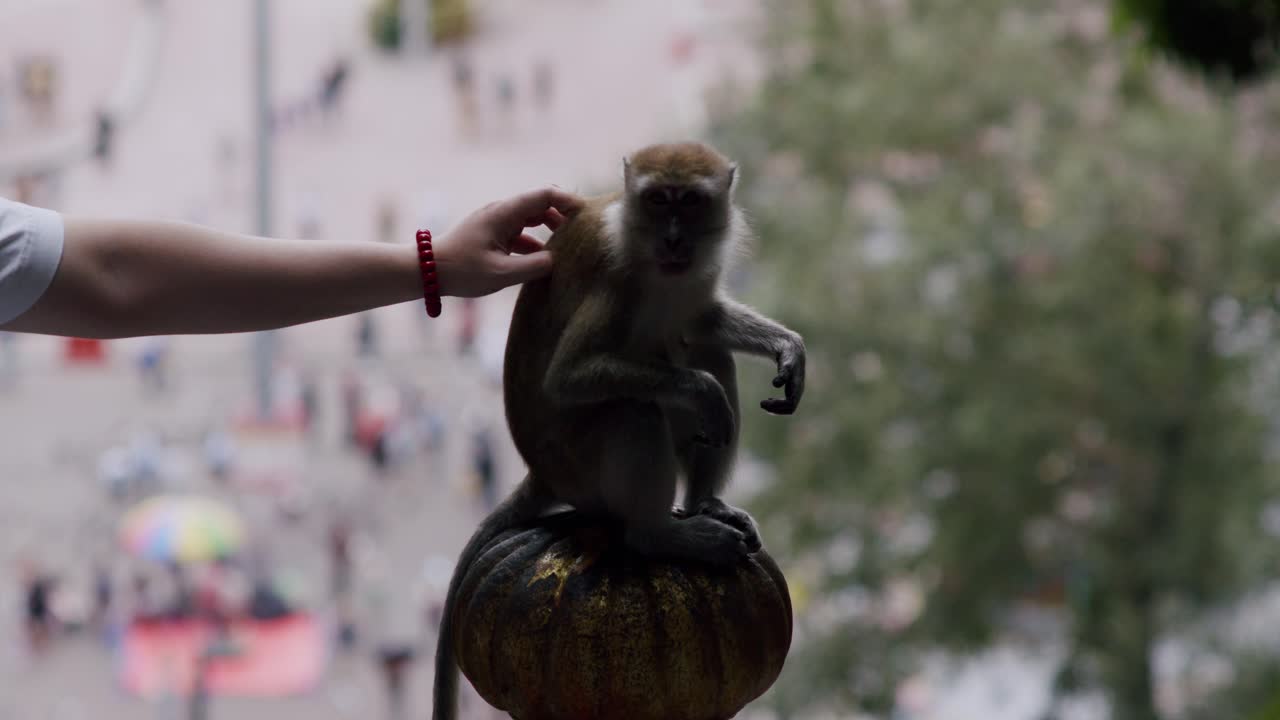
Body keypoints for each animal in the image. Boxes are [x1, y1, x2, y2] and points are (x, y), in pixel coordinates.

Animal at [432, 142, 806, 720]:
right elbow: (569, 376)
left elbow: (703, 321)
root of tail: (542, 474)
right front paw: (702, 391)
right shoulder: (617, 278)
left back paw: (704, 503)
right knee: (635, 411)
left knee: (707, 351)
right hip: (580, 467)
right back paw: (659, 533)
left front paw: (788, 347)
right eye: (656, 200)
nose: (673, 239)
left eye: (690, 202)